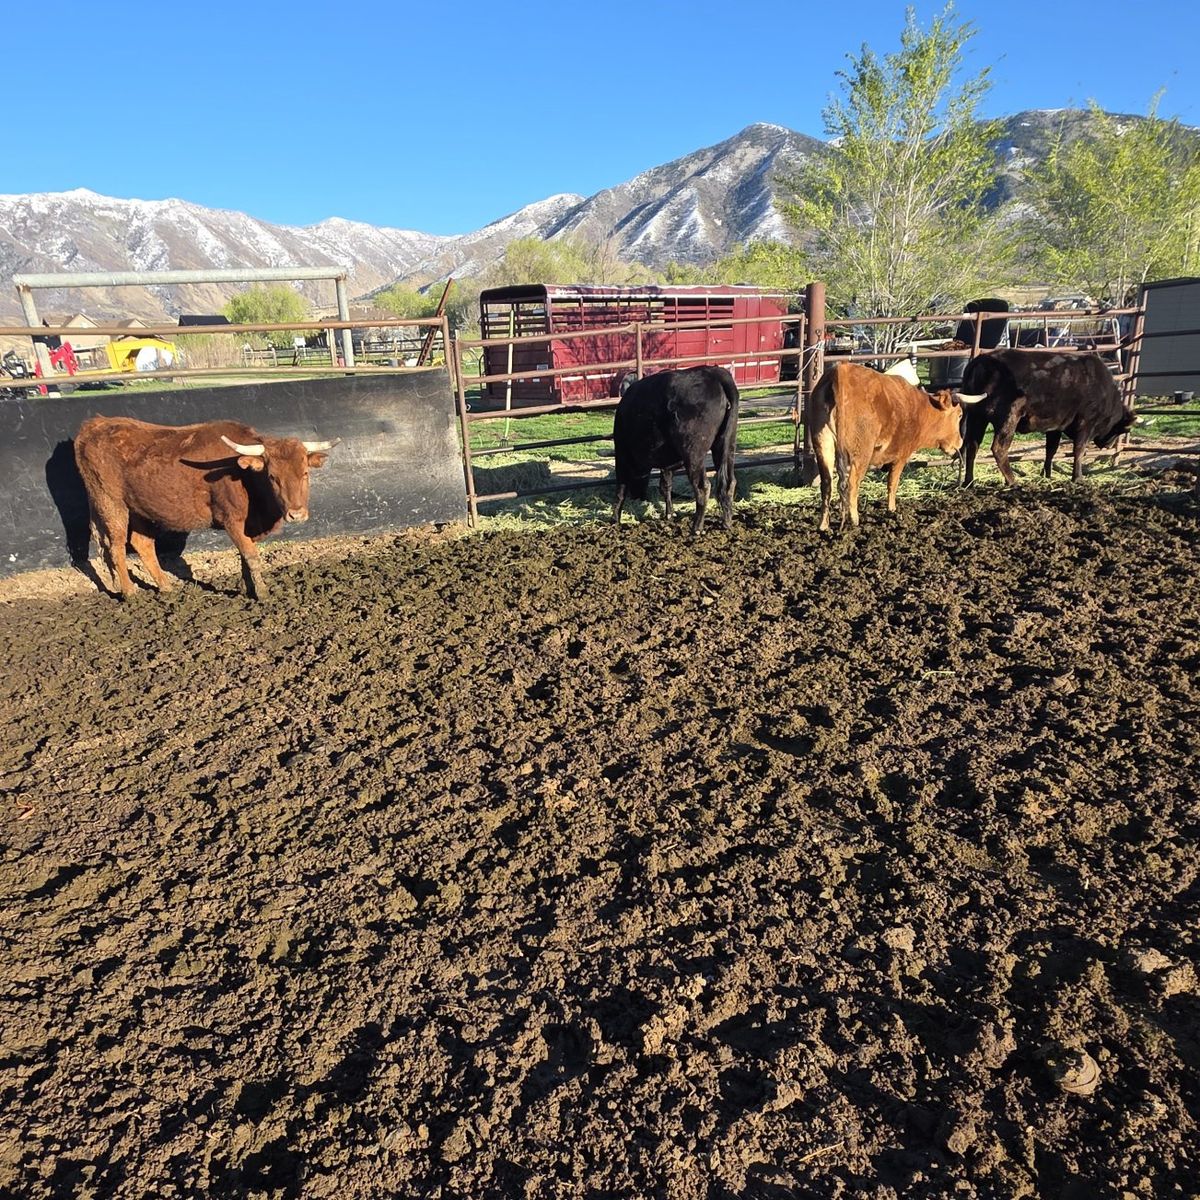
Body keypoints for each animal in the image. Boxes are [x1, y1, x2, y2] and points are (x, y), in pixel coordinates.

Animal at [73, 417, 337, 600]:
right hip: (110, 502)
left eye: (305, 473)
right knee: (115, 545)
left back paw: (166, 587)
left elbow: (244, 557)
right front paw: (262, 593)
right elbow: (251, 556)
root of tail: (95, 424)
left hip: (140, 508)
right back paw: (130, 593)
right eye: (272, 477)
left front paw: (248, 588)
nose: (296, 514)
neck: (243, 476)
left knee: (142, 543)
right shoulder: (232, 520)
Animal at [612, 366, 739, 536]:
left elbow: (620, 490)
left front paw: (615, 520)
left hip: (693, 452)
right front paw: (669, 514)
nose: (639, 496)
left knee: (702, 486)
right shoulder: (667, 462)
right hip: (726, 444)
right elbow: (665, 485)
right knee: (729, 482)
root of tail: (714, 372)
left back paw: (697, 528)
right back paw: (726, 522)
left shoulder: (622, 454)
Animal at [810, 360, 983, 532]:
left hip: (823, 446)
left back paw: (823, 525)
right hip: (860, 454)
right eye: (960, 415)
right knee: (852, 484)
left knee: (827, 484)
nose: (960, 442)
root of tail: (841, 372)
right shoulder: (901, 457)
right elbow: (892, 483)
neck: (919, 410)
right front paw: (892, 510)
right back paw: (854, 520)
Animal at [957, 349, 1135, 485]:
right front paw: (1078, 478)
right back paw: (1012, 480)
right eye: (1121, 429)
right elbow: (1079, 450)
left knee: (972, 446)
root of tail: (983, 360)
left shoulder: (1056, 426)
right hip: (1008, 417)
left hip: (977, 417)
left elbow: (1051, 449)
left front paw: (1047, 474)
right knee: (999, 448)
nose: (1108, 444)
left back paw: (969, 481)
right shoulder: (1085, 423)